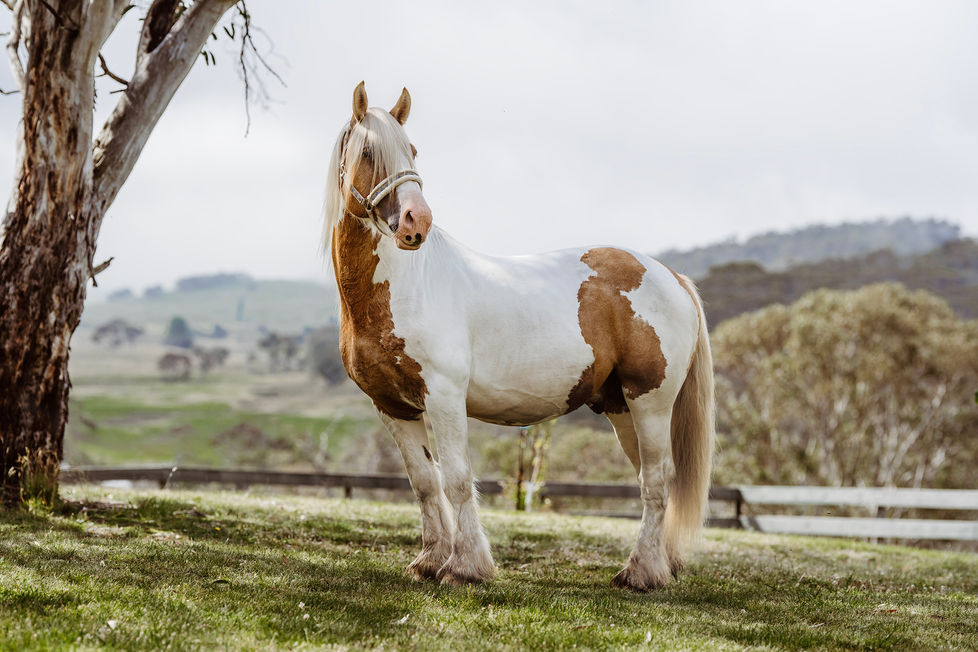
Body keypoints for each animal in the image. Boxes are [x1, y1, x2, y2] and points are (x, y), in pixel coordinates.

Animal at [323, 82, 715, 591]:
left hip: (650, 401)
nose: (416, 221)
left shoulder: (444, 397)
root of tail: (672, 276)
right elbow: (425, 482)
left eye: (412, 149)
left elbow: (456, 478)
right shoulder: (393, 406)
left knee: (657, 481)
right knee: (650, 479)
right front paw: (429, 561)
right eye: (369, 152)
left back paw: (640, 573)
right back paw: (657, 566)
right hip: (621, 406)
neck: (404, 283)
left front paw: (464, 567)